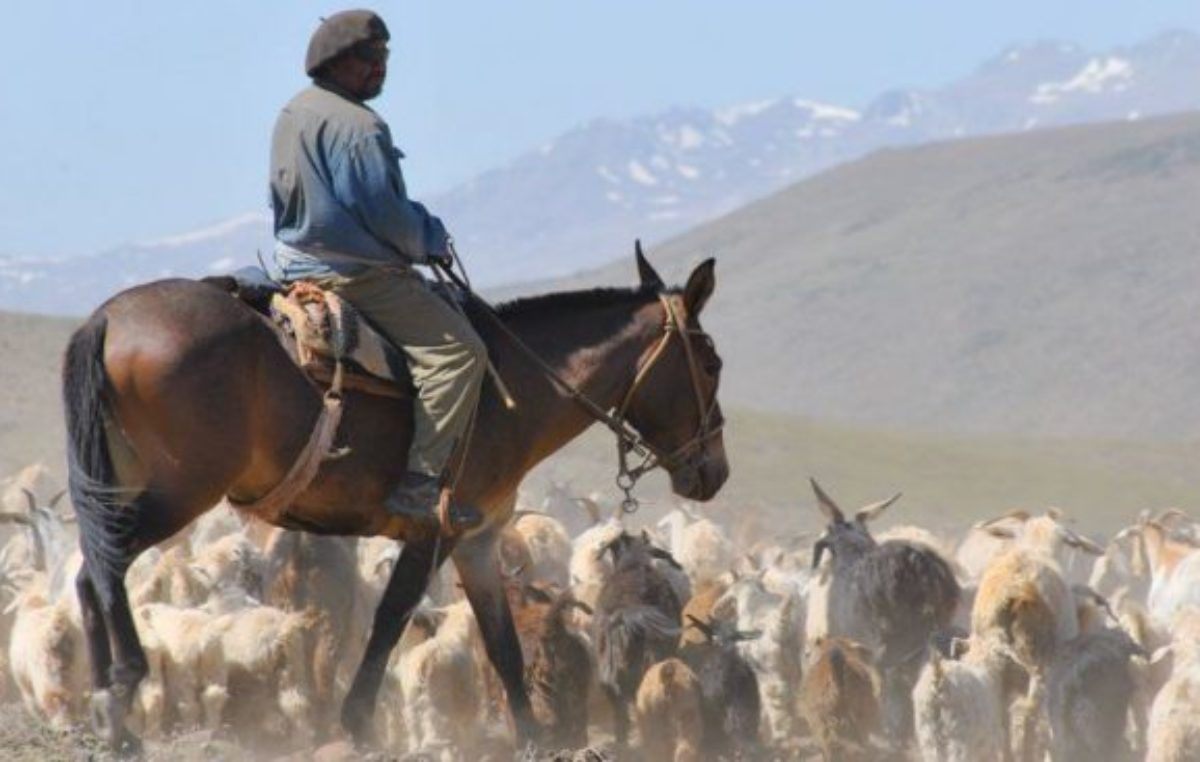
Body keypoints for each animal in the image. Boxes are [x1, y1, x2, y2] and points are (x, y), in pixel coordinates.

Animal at [63, 246, 729, 753]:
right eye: (711, 362)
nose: (714, 472)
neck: (514, 388)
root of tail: (107, 319)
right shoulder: (434, 531)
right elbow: (391, 618)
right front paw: (357, 724)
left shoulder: (476, 540)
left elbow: (503, 643)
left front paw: (531, 737)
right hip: (179, 492)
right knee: (107, 565)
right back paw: (121, 691)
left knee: (89, 570)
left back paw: (105, 708)